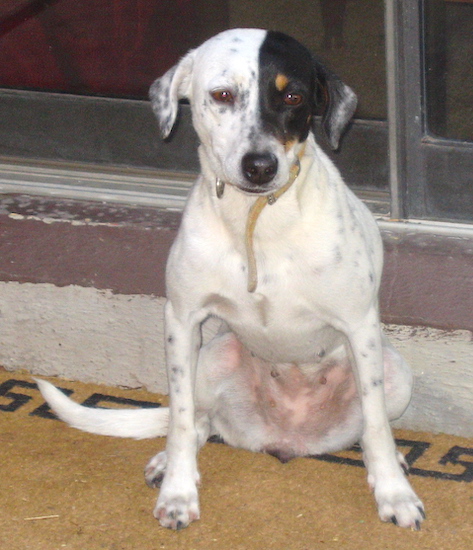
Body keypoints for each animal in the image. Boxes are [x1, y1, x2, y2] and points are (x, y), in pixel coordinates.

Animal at [37, 27, 424, 536]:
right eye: (222, 95)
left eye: (293, 96)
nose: (259, 166)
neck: (256, 220)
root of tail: (286, 438)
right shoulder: (182, 320)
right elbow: (181, 420)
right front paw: (178, 491)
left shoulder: (360, 325)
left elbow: (376, 425)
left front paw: (395, 494)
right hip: (212, 357)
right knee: (200, 420)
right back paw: (167, 461)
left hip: (395, 370)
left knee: (367, 426)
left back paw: (393, 461)